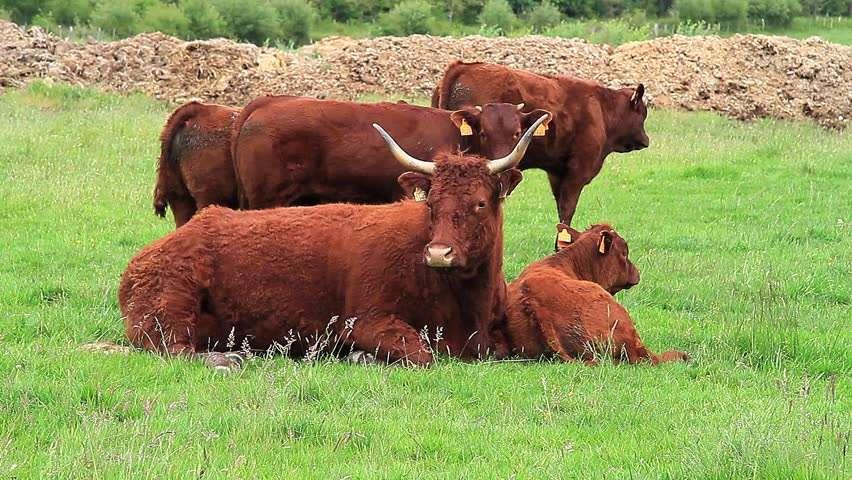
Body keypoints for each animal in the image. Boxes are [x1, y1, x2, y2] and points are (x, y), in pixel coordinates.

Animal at [118, 114, 544, 370]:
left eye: (479, 203)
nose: (439, 253)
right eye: (431, 203)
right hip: (170, 308)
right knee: (175, 349)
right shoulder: (367, 321)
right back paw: (230, 358)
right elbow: (420, 353)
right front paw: (358, 357)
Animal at [436, 61, 648, 224]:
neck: (601, 108)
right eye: (642, 114)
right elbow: (567, 212)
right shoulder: (576, 173)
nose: (646, 140)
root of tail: (462, 67)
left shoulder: (556, 174)